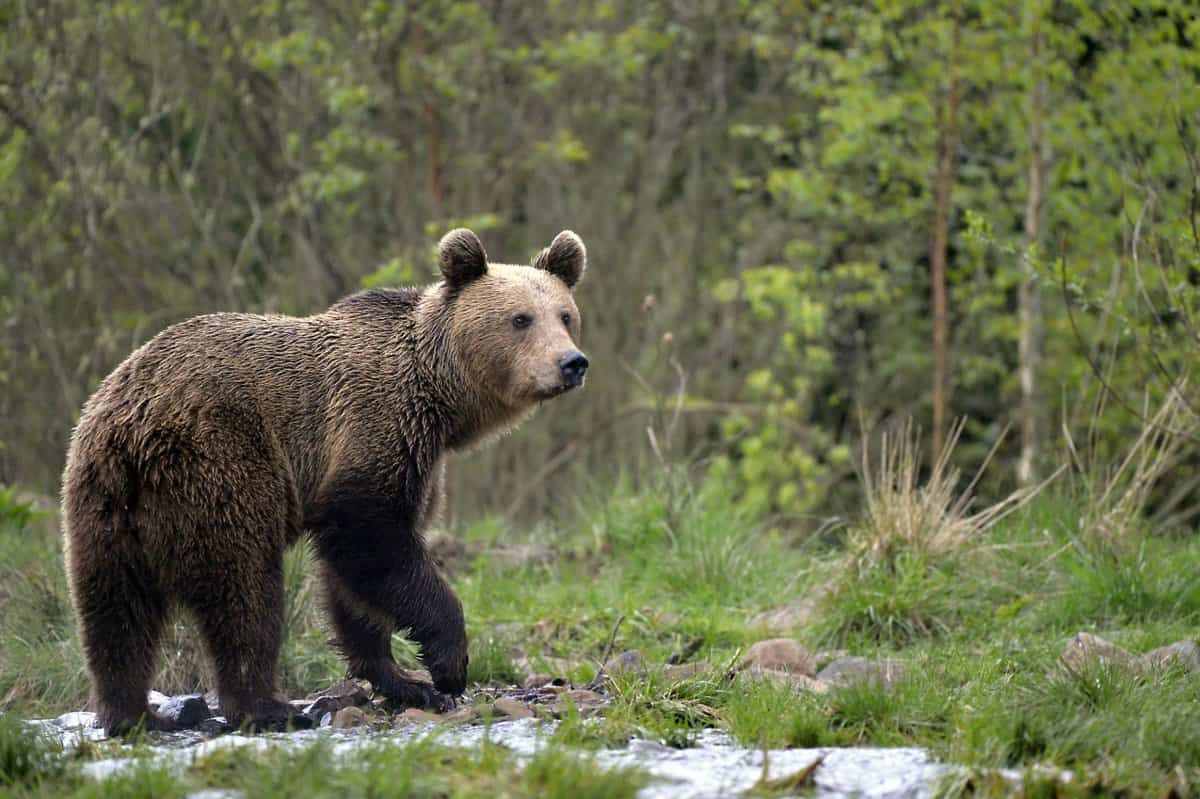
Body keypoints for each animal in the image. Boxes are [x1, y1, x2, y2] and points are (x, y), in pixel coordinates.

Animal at [59, 226, 585, 729]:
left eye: (565, 315)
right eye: (520, 319)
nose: (572, 363)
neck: (439, 397)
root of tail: (134, 425)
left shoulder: (418, 459)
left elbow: (353, 580)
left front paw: (402, 679)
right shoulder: (375, 429)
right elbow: (371, 539)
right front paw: (447, 666)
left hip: (102, 502)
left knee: (115, 611)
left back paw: (130, 713)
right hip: (221, 463)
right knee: (245, 589)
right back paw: (266, 706)